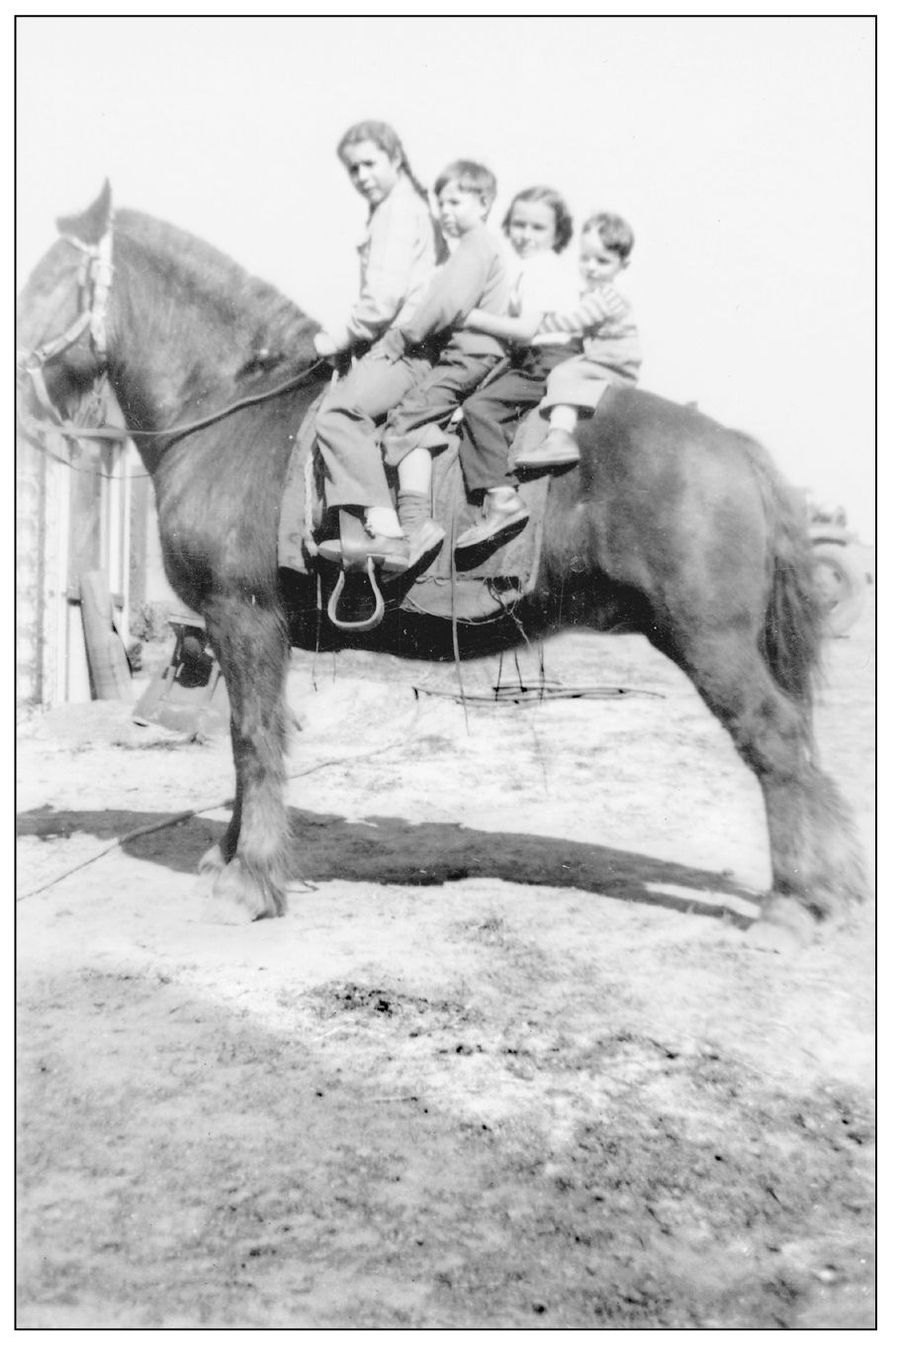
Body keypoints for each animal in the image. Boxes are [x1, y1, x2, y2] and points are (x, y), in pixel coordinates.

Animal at [17, 184, 868, 953]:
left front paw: (251, 881)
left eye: (48, 278)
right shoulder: (238, 630)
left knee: (775, 741)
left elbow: (253, 740)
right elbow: (243, 742)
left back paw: (792, 907)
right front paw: (230, 857)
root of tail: (735, 447)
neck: (234, 413)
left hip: (709, 640)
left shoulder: (245, 617)